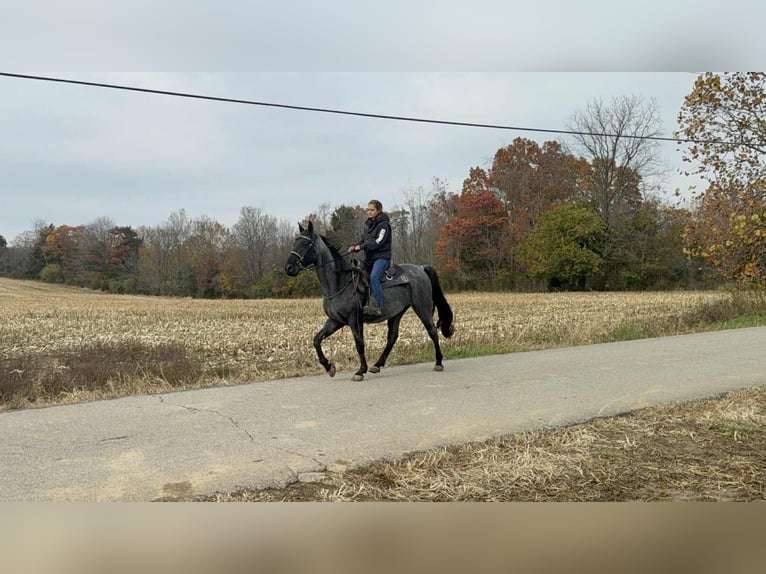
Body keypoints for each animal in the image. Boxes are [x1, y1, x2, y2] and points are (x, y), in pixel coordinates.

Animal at [284, 221, 455, 381]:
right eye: (295, 242)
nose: (289, 268)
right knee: (392, 337)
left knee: (432, 331)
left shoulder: (354, 320)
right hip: (396, 313)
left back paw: (439, 362)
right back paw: (377, 365)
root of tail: (421, 268)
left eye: (306, 244)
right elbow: (317, 340)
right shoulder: (335, 321)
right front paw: (329, 367)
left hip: (422, 308)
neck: (339, 283)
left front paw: (360, 371)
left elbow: (359, 344)